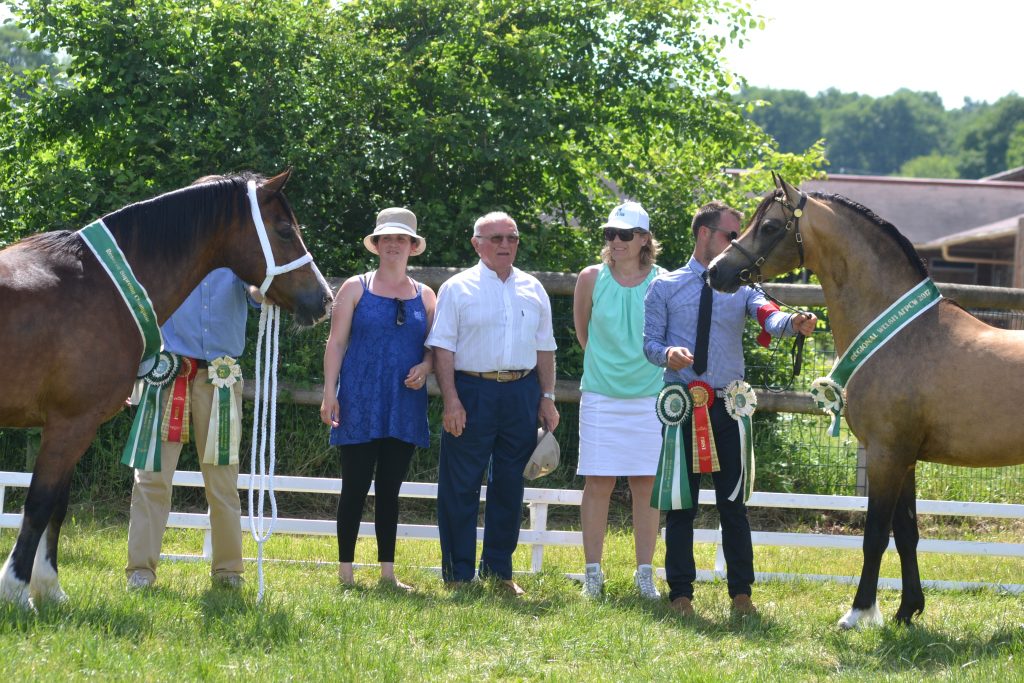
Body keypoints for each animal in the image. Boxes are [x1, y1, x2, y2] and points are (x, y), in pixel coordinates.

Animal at [0, 167, 331, 606]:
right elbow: (39, 504)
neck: (99, 286)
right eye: (284, 230)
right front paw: (17, 591)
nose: (324, 299)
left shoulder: (67, 426)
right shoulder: (71, 423)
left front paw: (51, 589)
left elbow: (57, 505)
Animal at [704, 172, 1024, 630]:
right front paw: (907, 611)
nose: (716, 272)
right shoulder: (904, 458)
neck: (902, 334)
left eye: (769, 226)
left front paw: (858, 612)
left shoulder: (886, 455)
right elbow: (907, 534)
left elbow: (874, 536)